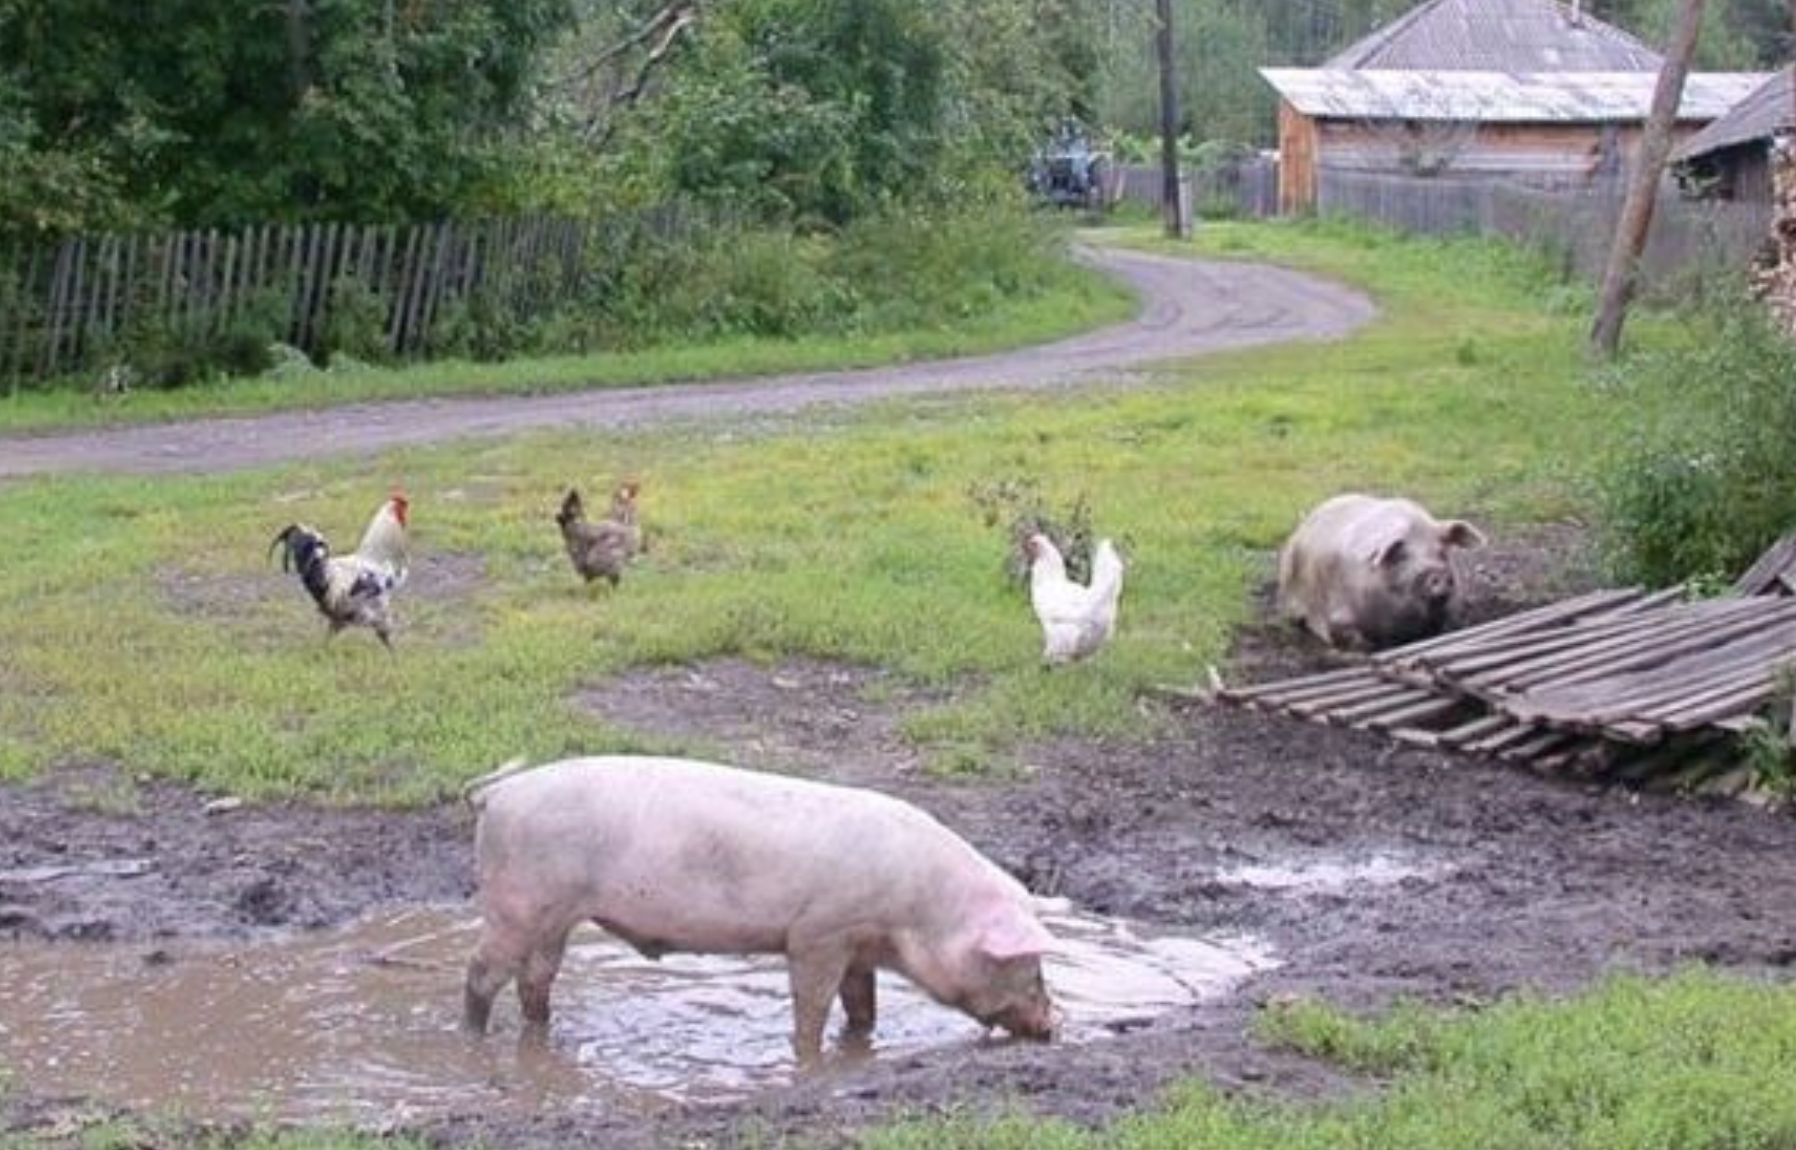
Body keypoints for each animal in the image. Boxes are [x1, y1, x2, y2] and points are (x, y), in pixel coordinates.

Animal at [459, 754, 1063, 1063]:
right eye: (1027, 964)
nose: (1052, 1027)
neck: (917, 910)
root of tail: (500, 791)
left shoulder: (858, 942)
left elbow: (862, 1006)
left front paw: (861, 1044)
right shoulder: (820, 933)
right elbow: (812, 1004)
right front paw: (809, 1057)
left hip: (554, 915)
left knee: (536, 978)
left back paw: (540, 1030)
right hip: (516, 901)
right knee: (483, 972)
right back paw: (472, 1036)